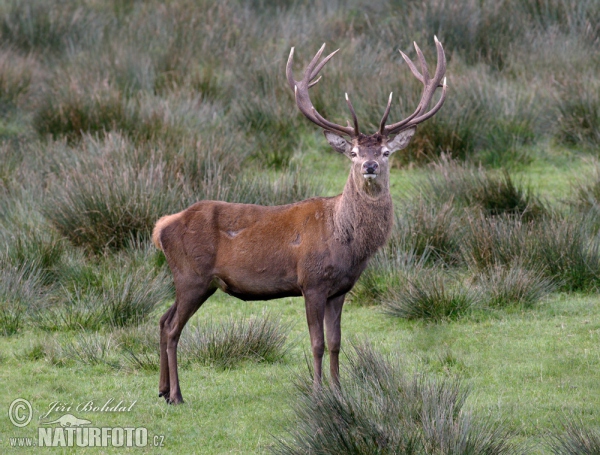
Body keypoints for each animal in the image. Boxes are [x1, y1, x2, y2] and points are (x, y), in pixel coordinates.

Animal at [152, 37, 448, 404]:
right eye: (353, 152)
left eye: (386, 152)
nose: (370, 166)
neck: (345, 240)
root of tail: (161, 227)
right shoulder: (312, 281)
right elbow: (317, 343)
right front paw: (318, 392)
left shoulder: (340, 289)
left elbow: (336, 343)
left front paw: (338, 390)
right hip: (191, 276)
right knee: (173, 328)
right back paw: (177, 395)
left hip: (192, 281)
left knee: (162, 319)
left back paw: (162, 389)